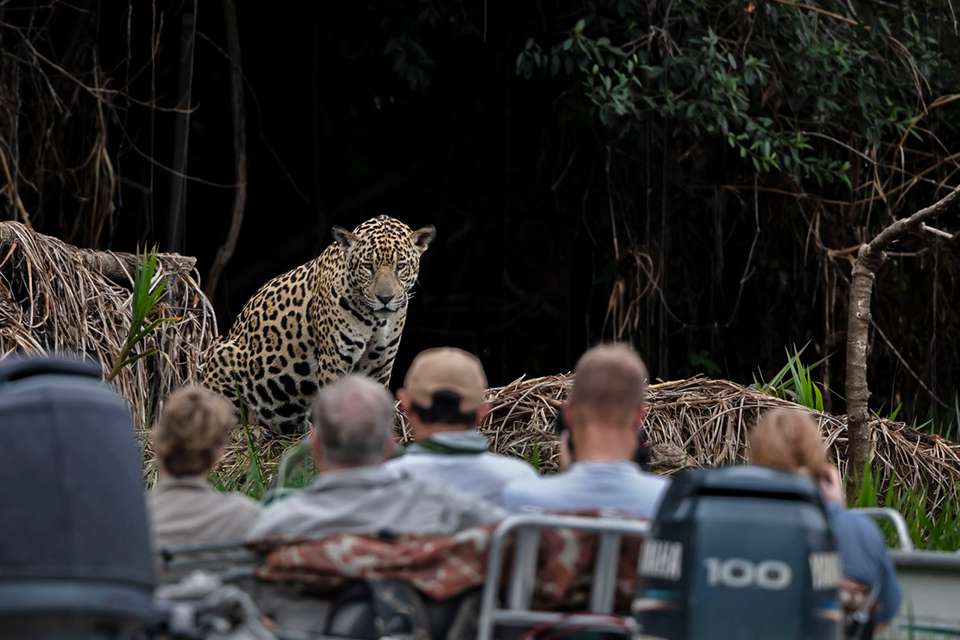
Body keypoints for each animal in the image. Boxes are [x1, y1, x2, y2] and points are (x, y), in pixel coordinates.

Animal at [200, 215, 435, 434]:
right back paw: (249, 432)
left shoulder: (379, 365)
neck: (376, 320)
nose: (385, 298)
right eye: (368, 266)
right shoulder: (334, 361)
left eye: (400, 266)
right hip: (225, 355)